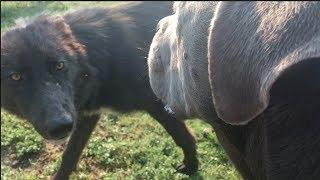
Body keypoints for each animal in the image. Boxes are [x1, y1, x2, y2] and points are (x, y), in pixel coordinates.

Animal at [1, 2, 199, 179]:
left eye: (59, 65)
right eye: (16, 76)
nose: (60, 126)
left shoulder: (160, 104)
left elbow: (183, 137)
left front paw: (191, 167)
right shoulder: (86, 114)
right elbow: (70, 154)